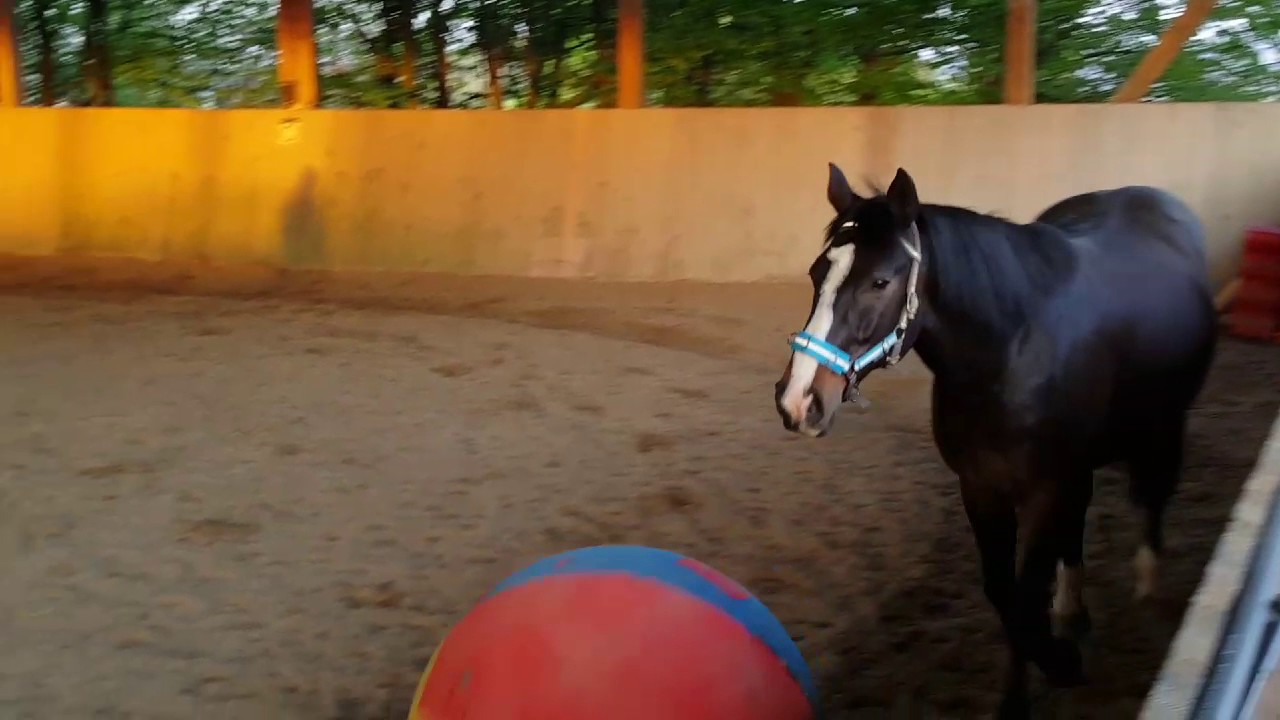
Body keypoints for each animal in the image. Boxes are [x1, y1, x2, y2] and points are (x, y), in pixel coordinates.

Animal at [773, 163, 1217, 718]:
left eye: (880, 281)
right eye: (818, 273)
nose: (798, 400)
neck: (1011, 348)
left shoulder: (1047, 488)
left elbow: (1024, 596)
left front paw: (1057, 667)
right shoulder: (982, 487)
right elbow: (1004, 593)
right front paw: (1052, 661)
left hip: (1164, 424)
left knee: (1152, 498)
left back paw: (1146, 591)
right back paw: (1074, 613)